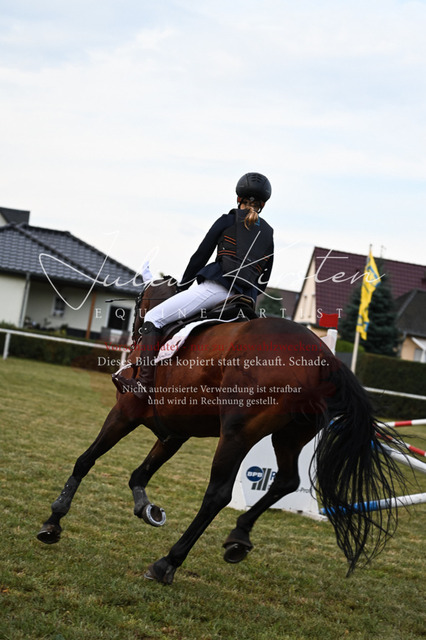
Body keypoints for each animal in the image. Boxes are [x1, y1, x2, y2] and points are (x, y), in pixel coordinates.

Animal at [37, 276, 406, 585]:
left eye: (137, 310)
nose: (135, 334)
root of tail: (325, 361)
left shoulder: (125, 413)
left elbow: (86, 460)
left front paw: (53, 521)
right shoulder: (174, 432)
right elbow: (139, 474)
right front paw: (147, 509)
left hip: (237, 435)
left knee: (218, 495)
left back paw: (168, 563)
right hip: (289, 436)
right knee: (287, 481)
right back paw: (239, 538)